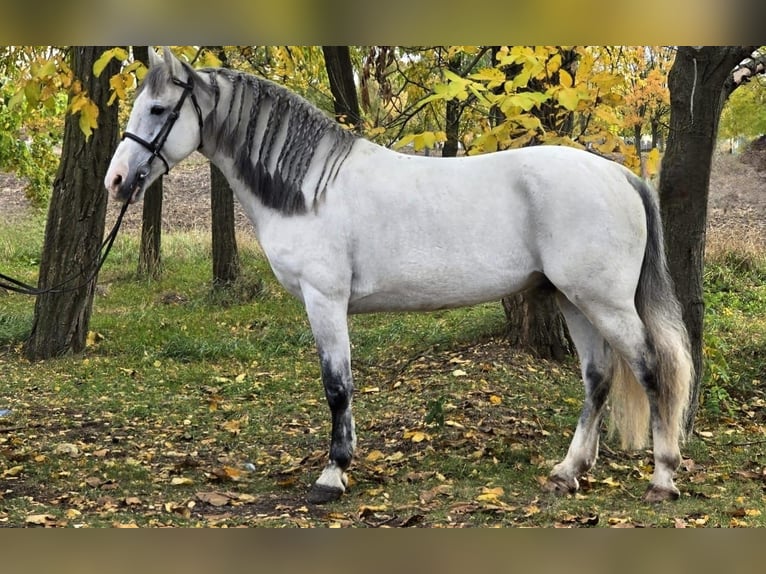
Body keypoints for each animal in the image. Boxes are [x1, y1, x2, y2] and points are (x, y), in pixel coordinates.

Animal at [105, 47, 693, 504]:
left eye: (158, 108)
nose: (116, 180)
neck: (310, 188)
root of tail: (620, 173)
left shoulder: (324, 300)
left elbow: (337, 386)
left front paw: (332, 475)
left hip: (605, 302)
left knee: (651, 369)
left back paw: (662, 479)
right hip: (574, 299)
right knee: (598, 378)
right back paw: (568, 472)